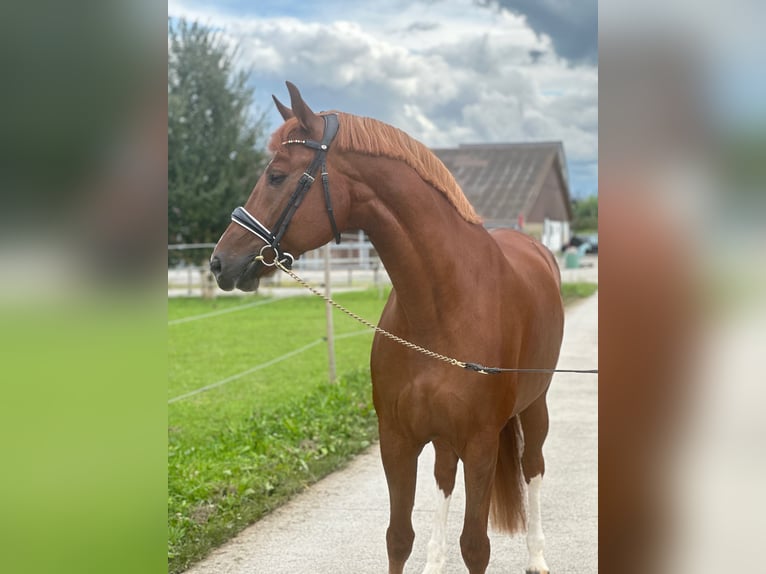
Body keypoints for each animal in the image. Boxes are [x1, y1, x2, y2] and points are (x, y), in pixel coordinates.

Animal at [210, 82, 564, 574]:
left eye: (277, 175)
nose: (220, 262)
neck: (440, 308)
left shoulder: (480, 443)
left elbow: (475, 545)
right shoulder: (396, 440)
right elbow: (399, 536)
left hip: (534, 408)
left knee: (533, 468)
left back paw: (536, 557)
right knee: (444, 476)